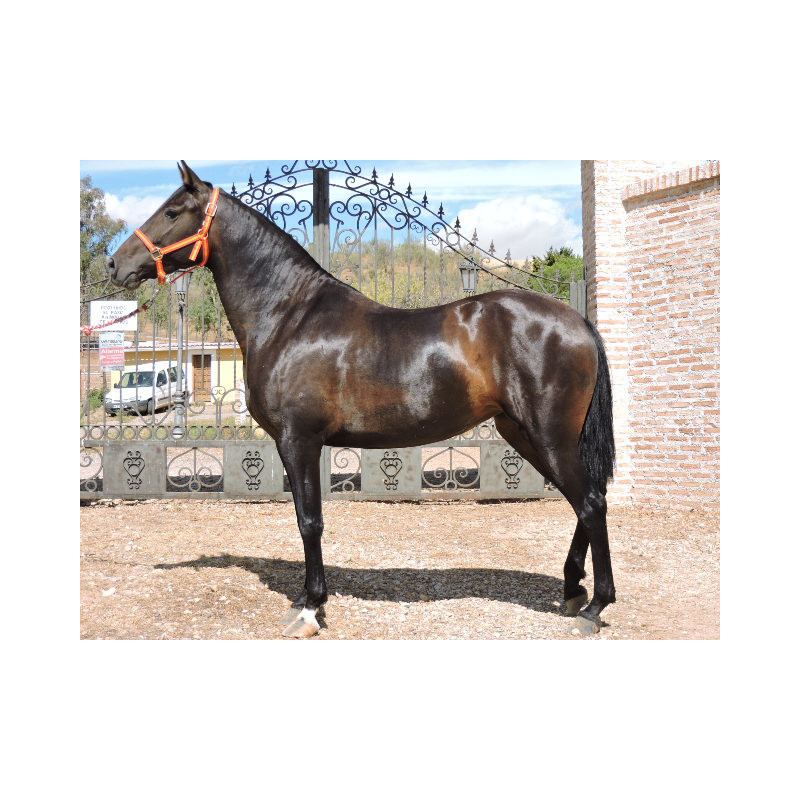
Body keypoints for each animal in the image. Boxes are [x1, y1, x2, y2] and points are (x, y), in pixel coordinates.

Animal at [106, 161, 616, 638]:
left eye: (173, 211)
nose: (114, 265)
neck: (290, 316)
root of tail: (577, 321)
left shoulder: (298, 440)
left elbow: (309, 521)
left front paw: (311, 609)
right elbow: (305, 518)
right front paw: (307, 601)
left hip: (548, 435)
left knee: (590, 502)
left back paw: (595, 606)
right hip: (526, 434)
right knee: (584, 500)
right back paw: (572, 589)